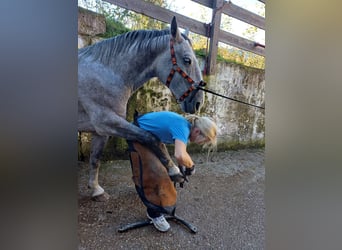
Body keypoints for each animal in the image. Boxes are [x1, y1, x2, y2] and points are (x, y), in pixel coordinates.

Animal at [79, 17, 204, 201]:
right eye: (187, 60)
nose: (198, 102)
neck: (107, 73)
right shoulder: (107, 121)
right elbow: (151, 137)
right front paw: (174, 170)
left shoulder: (101, 130)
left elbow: (95, 159)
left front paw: (96, 190)